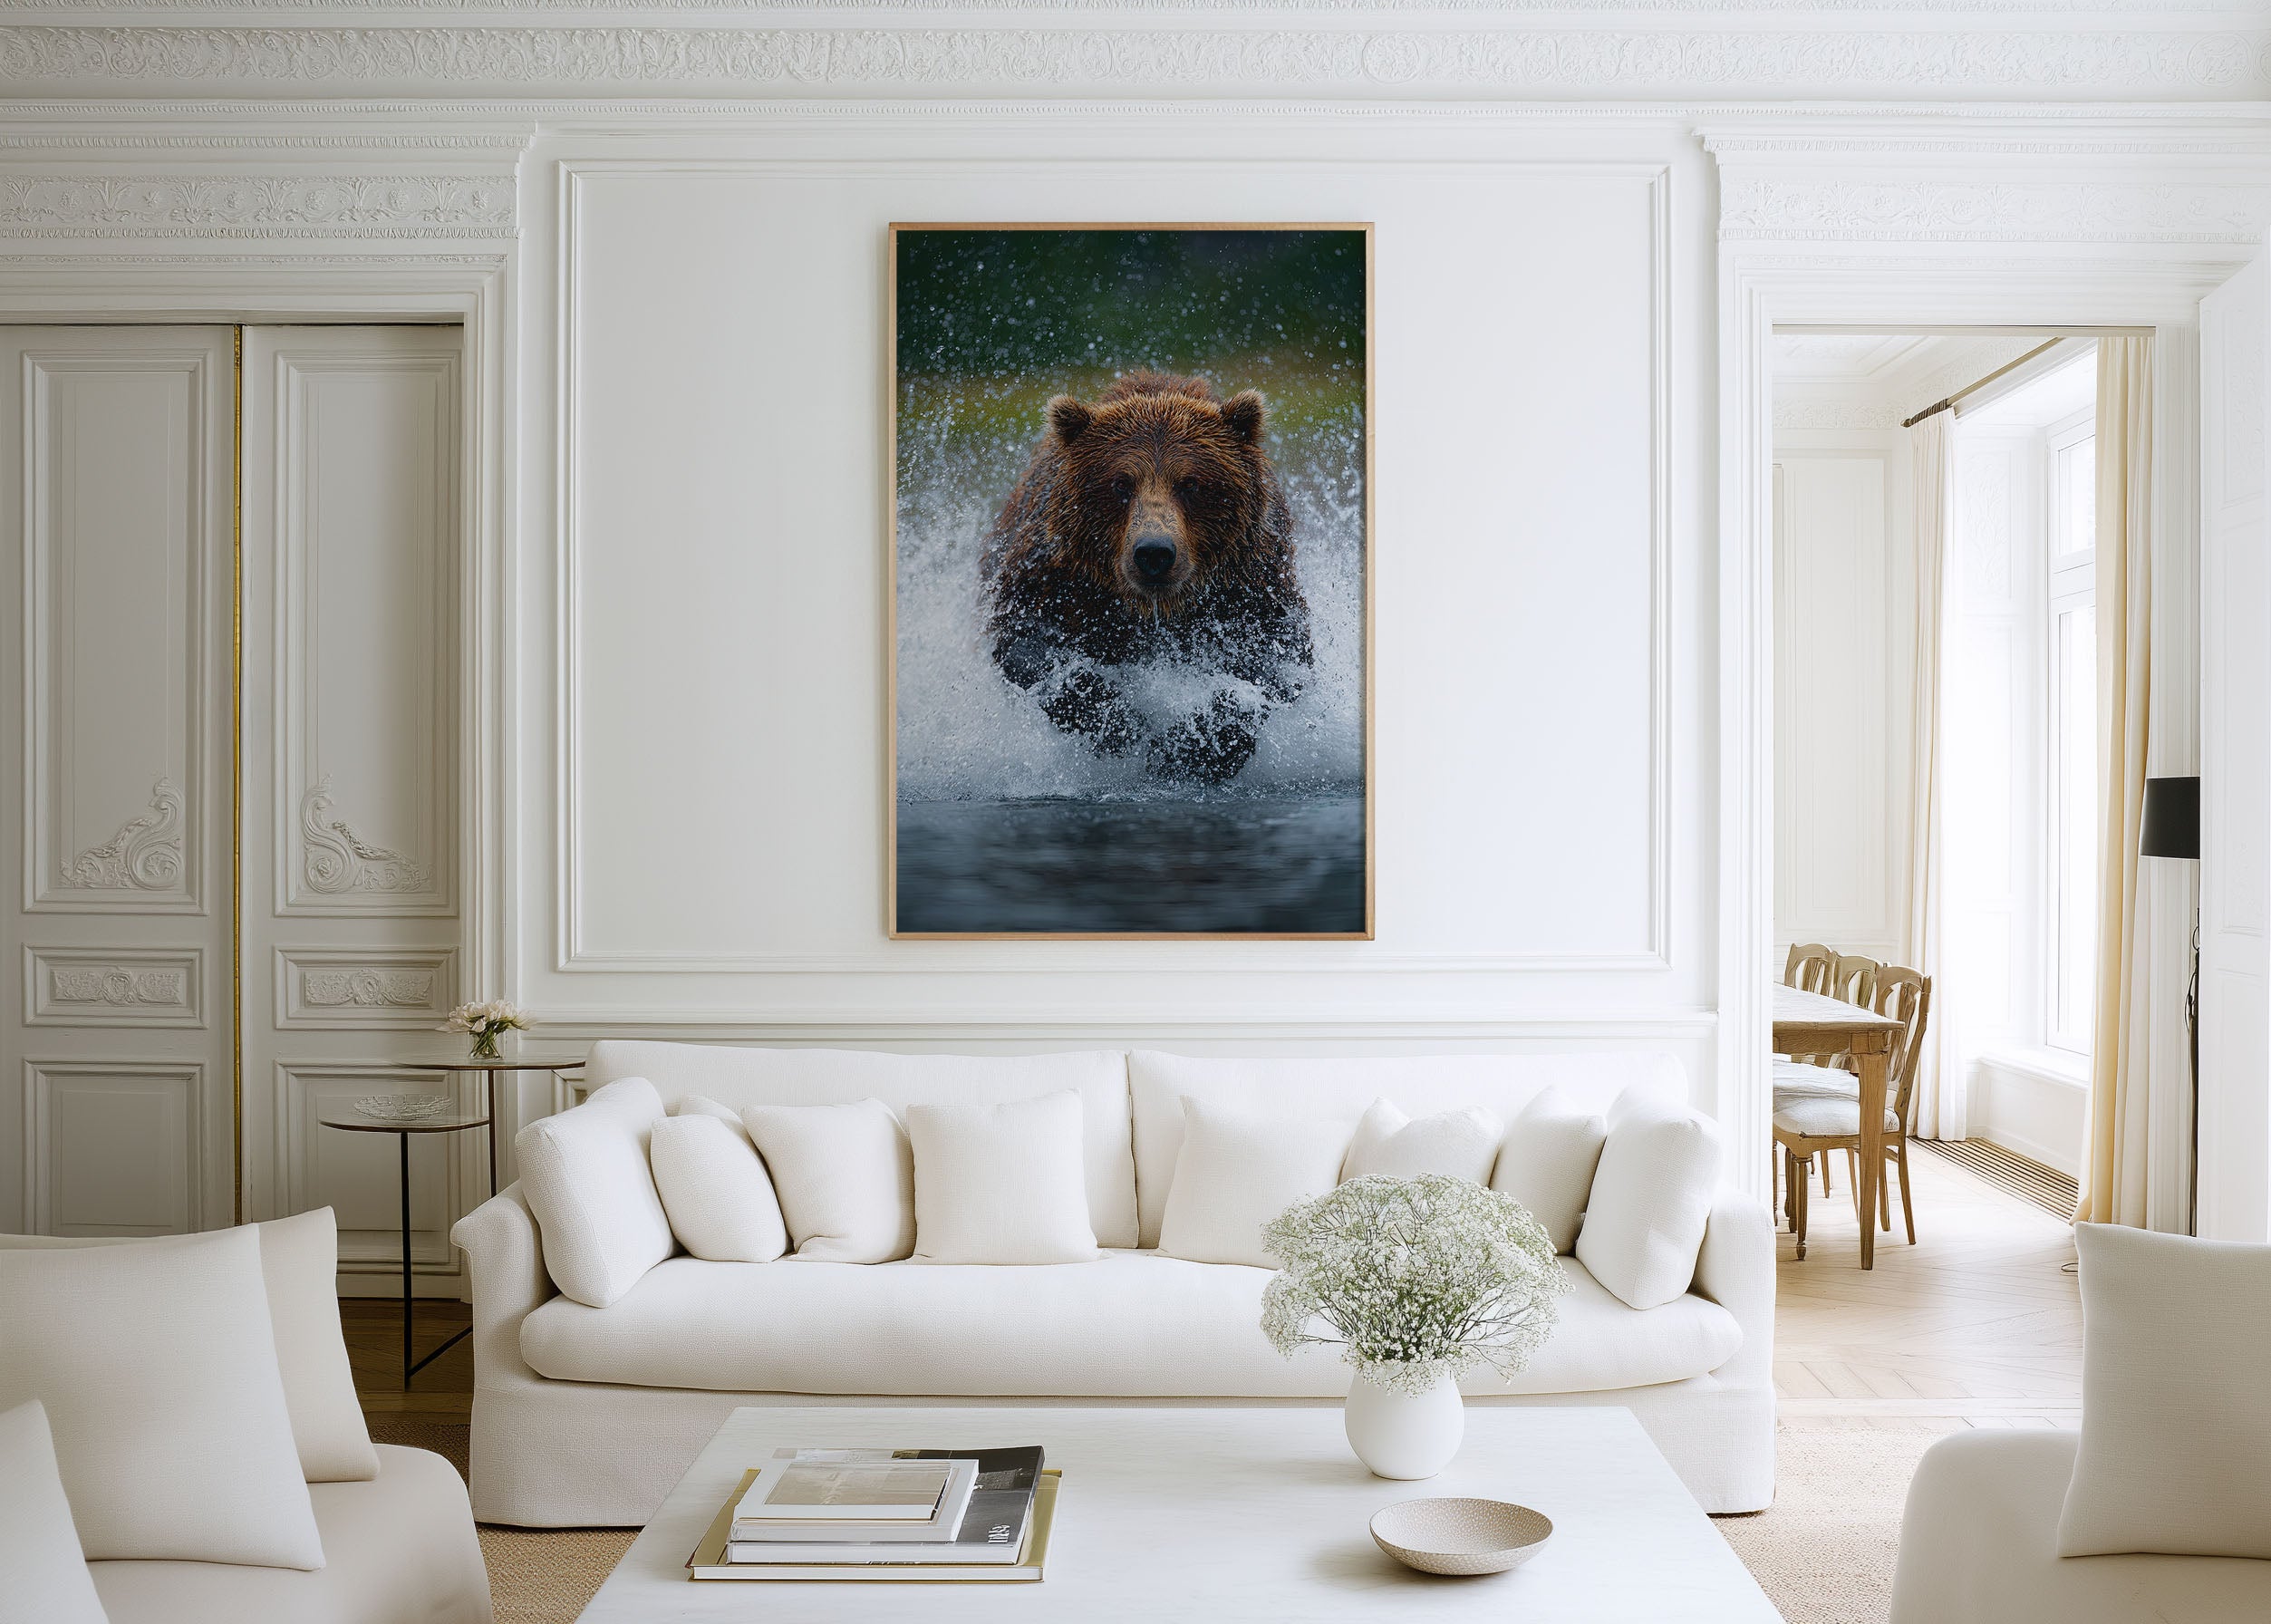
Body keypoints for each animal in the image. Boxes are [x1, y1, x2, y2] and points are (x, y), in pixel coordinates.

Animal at [981, 371, 1313, 785]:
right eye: (1120, 483)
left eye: (1191, 483)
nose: (1154, 552)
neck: (1155, 609)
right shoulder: (1057, 575)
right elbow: (1029, 643)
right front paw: (1123, 726)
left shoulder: (1250, 580)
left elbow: (1275, 660)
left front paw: (1191, 747)